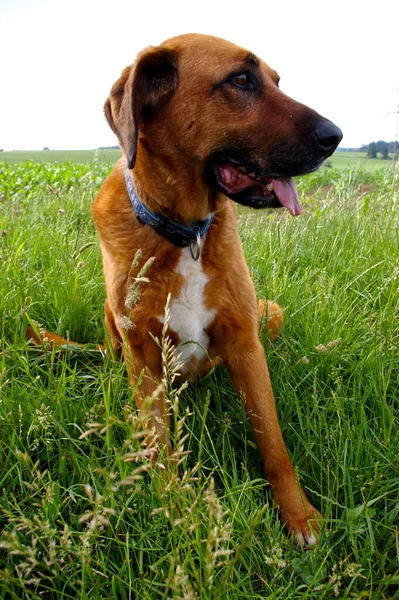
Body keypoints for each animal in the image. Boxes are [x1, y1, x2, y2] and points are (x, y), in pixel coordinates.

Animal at [32, 35, 344, 548]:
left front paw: (298, 515)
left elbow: (273, 440)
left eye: (277, 80)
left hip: (270, 311)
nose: (336, 136)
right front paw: (175, 508)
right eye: (241, 79)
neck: (185, 234)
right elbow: (159, 443)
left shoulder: (245, 342)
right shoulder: (142, 356)